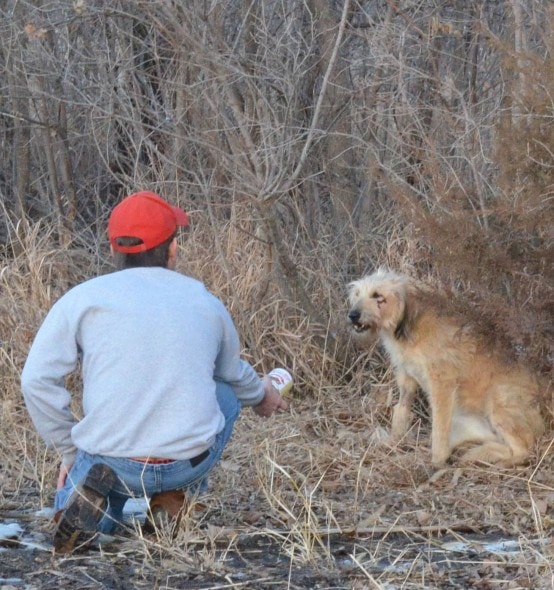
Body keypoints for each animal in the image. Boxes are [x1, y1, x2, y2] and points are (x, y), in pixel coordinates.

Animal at [348, 270, 540, 470]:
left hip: (498, 401)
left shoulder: (442, 383)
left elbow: (439, 426)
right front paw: (394, 443)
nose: (352, 315)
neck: (407, 324)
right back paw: (473, 455)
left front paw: (437, 461)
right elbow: (401, 412)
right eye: (357, 294)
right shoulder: (406, 378)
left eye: (377, 295)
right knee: (501, 445)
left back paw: (498, 462)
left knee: (524, 448)